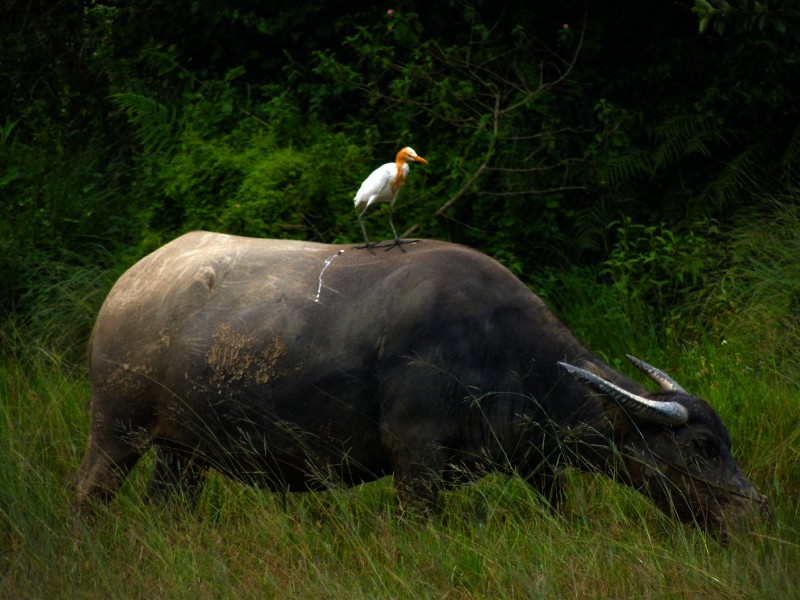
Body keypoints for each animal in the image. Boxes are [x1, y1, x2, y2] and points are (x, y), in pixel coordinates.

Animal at [75, 231, 768, 536]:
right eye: (703, 446)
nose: (755, 510)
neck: (502, 350)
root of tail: (126, 287)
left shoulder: (538, 463)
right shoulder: (417, 457)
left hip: (184, 452)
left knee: (167, 502)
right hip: (116, 427)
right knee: (88, 493)